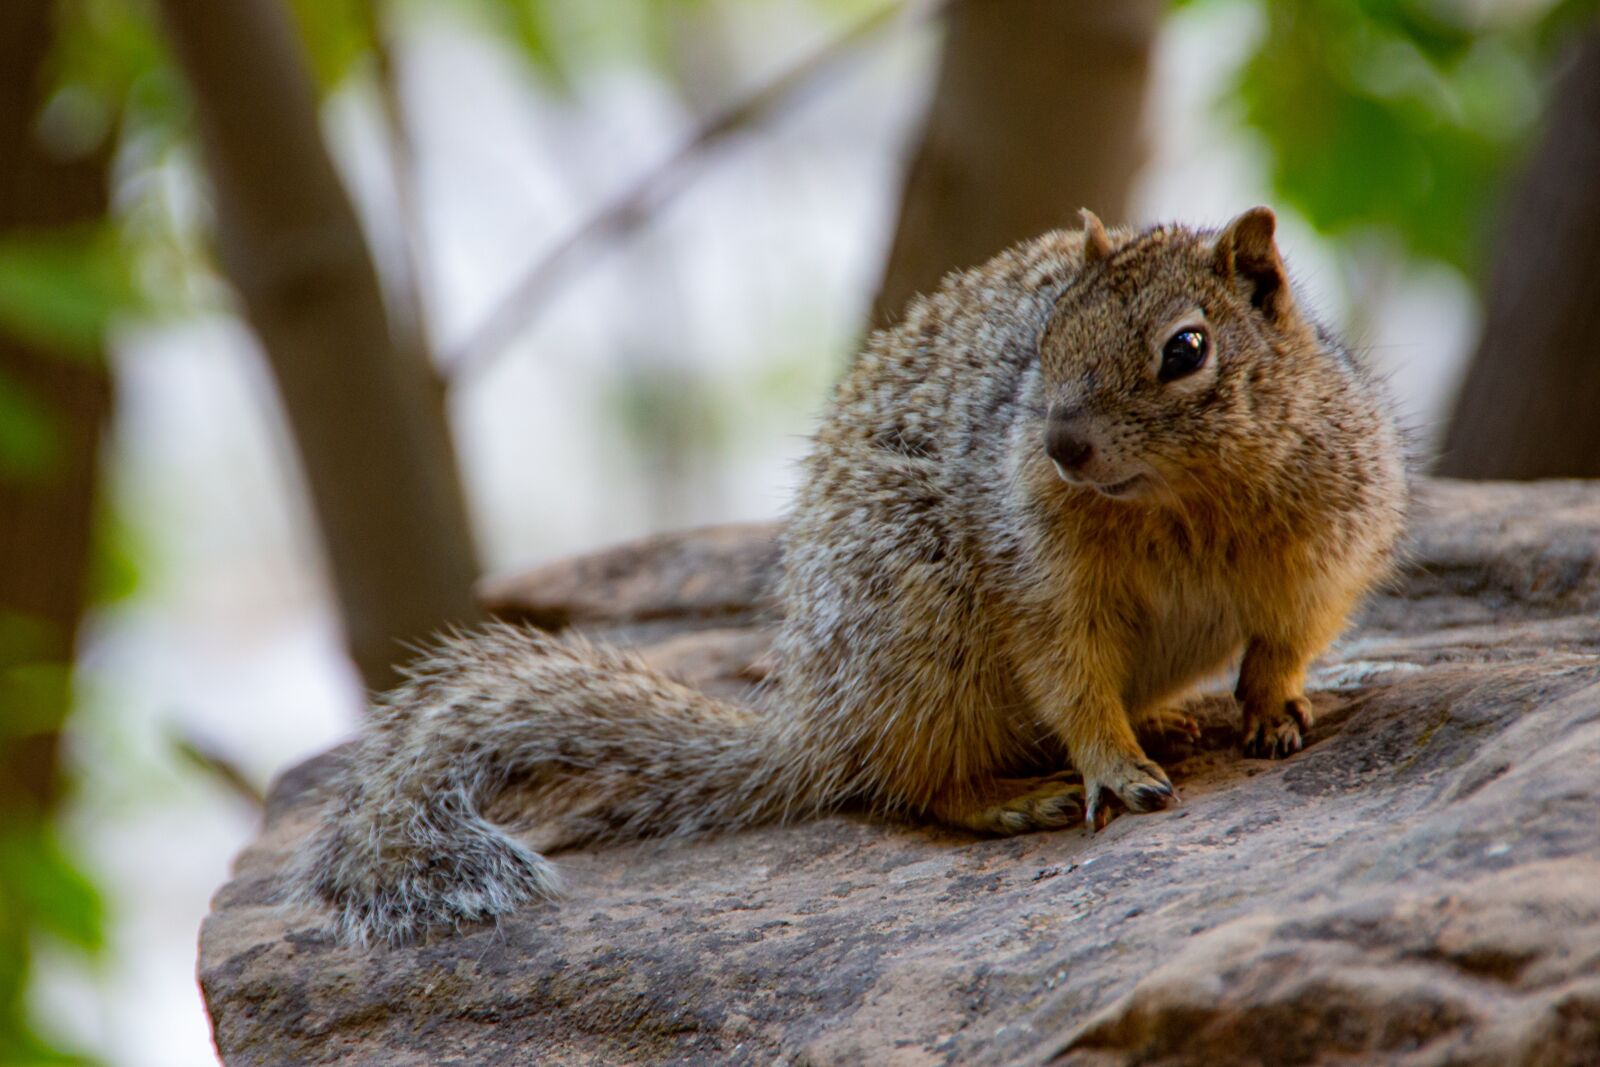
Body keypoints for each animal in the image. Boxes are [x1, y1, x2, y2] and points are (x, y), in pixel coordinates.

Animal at [297, 207, 1408, 947]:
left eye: (1187, 348)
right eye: (1044, 338)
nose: (1059, 445)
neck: (1180, 504)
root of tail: (816, 717)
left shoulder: (1326, 548)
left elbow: (1287, 640)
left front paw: (1273, 707)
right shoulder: (1041, 581)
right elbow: (1070, 679)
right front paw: (1113, 768)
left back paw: (1166, 719)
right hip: (927, 637)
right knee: (908, 780)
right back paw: (1011, 798)